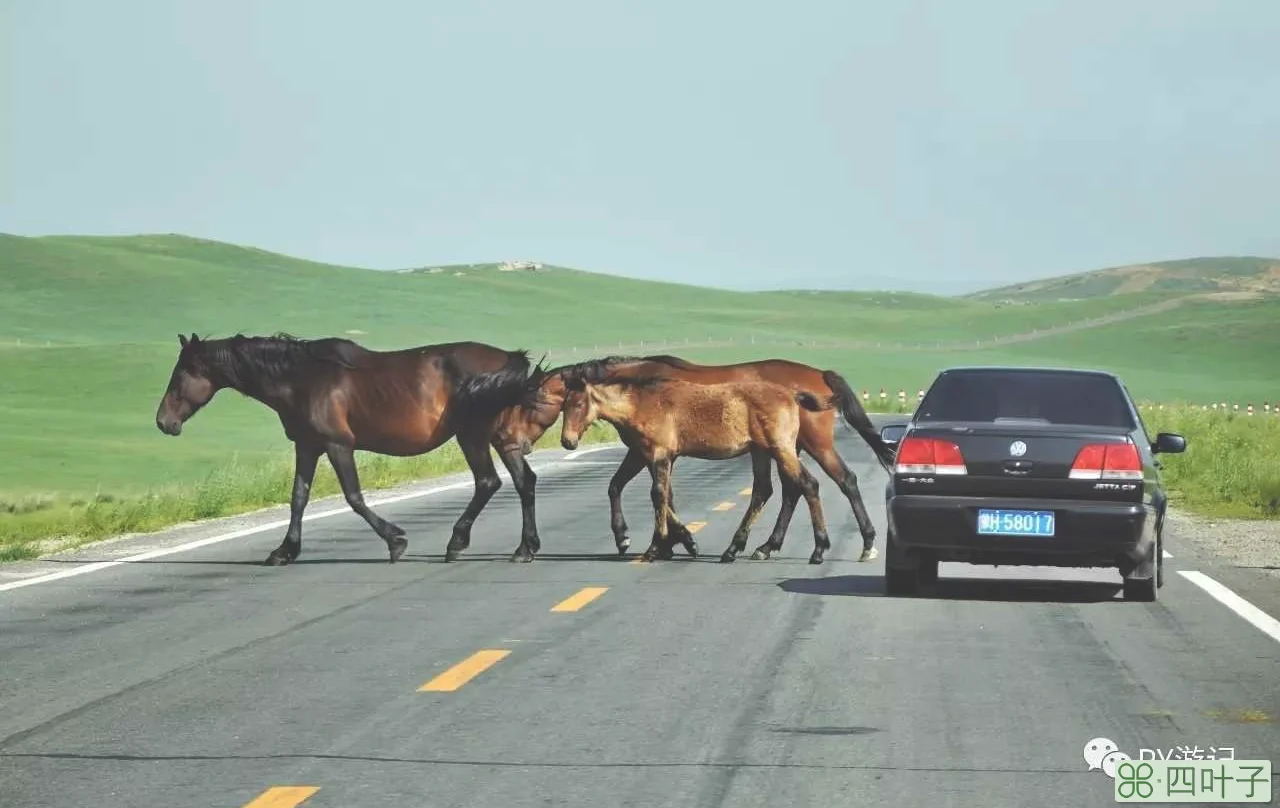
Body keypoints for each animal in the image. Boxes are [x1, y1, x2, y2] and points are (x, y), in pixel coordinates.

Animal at [156, 332, 545, 565]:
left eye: (180, 375)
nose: (163, 422)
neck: (303, 379)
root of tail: (508, 359)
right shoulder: (308, 446)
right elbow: (298, 497)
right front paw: (285, 550)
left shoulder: (337, 444)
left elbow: (354, 497)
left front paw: (395, 541)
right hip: (499, 436)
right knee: (524, 482)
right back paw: (525, 548)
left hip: (472, 435)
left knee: (488, 482)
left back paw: (457, 542)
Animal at [537, 353, 890, 563]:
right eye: (561, 403)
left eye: (538, 395)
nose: (567, 442)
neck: (642, 392)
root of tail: (812, 379)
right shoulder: (650, 453)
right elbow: (636, 490)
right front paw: (674, 541)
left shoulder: (654, 453)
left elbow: (656, 494)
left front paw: (654, 544)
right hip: (774, 449)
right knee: (784, 489)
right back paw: (759, 547)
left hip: (804, 445)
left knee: (833, 481)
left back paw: (844, 546)